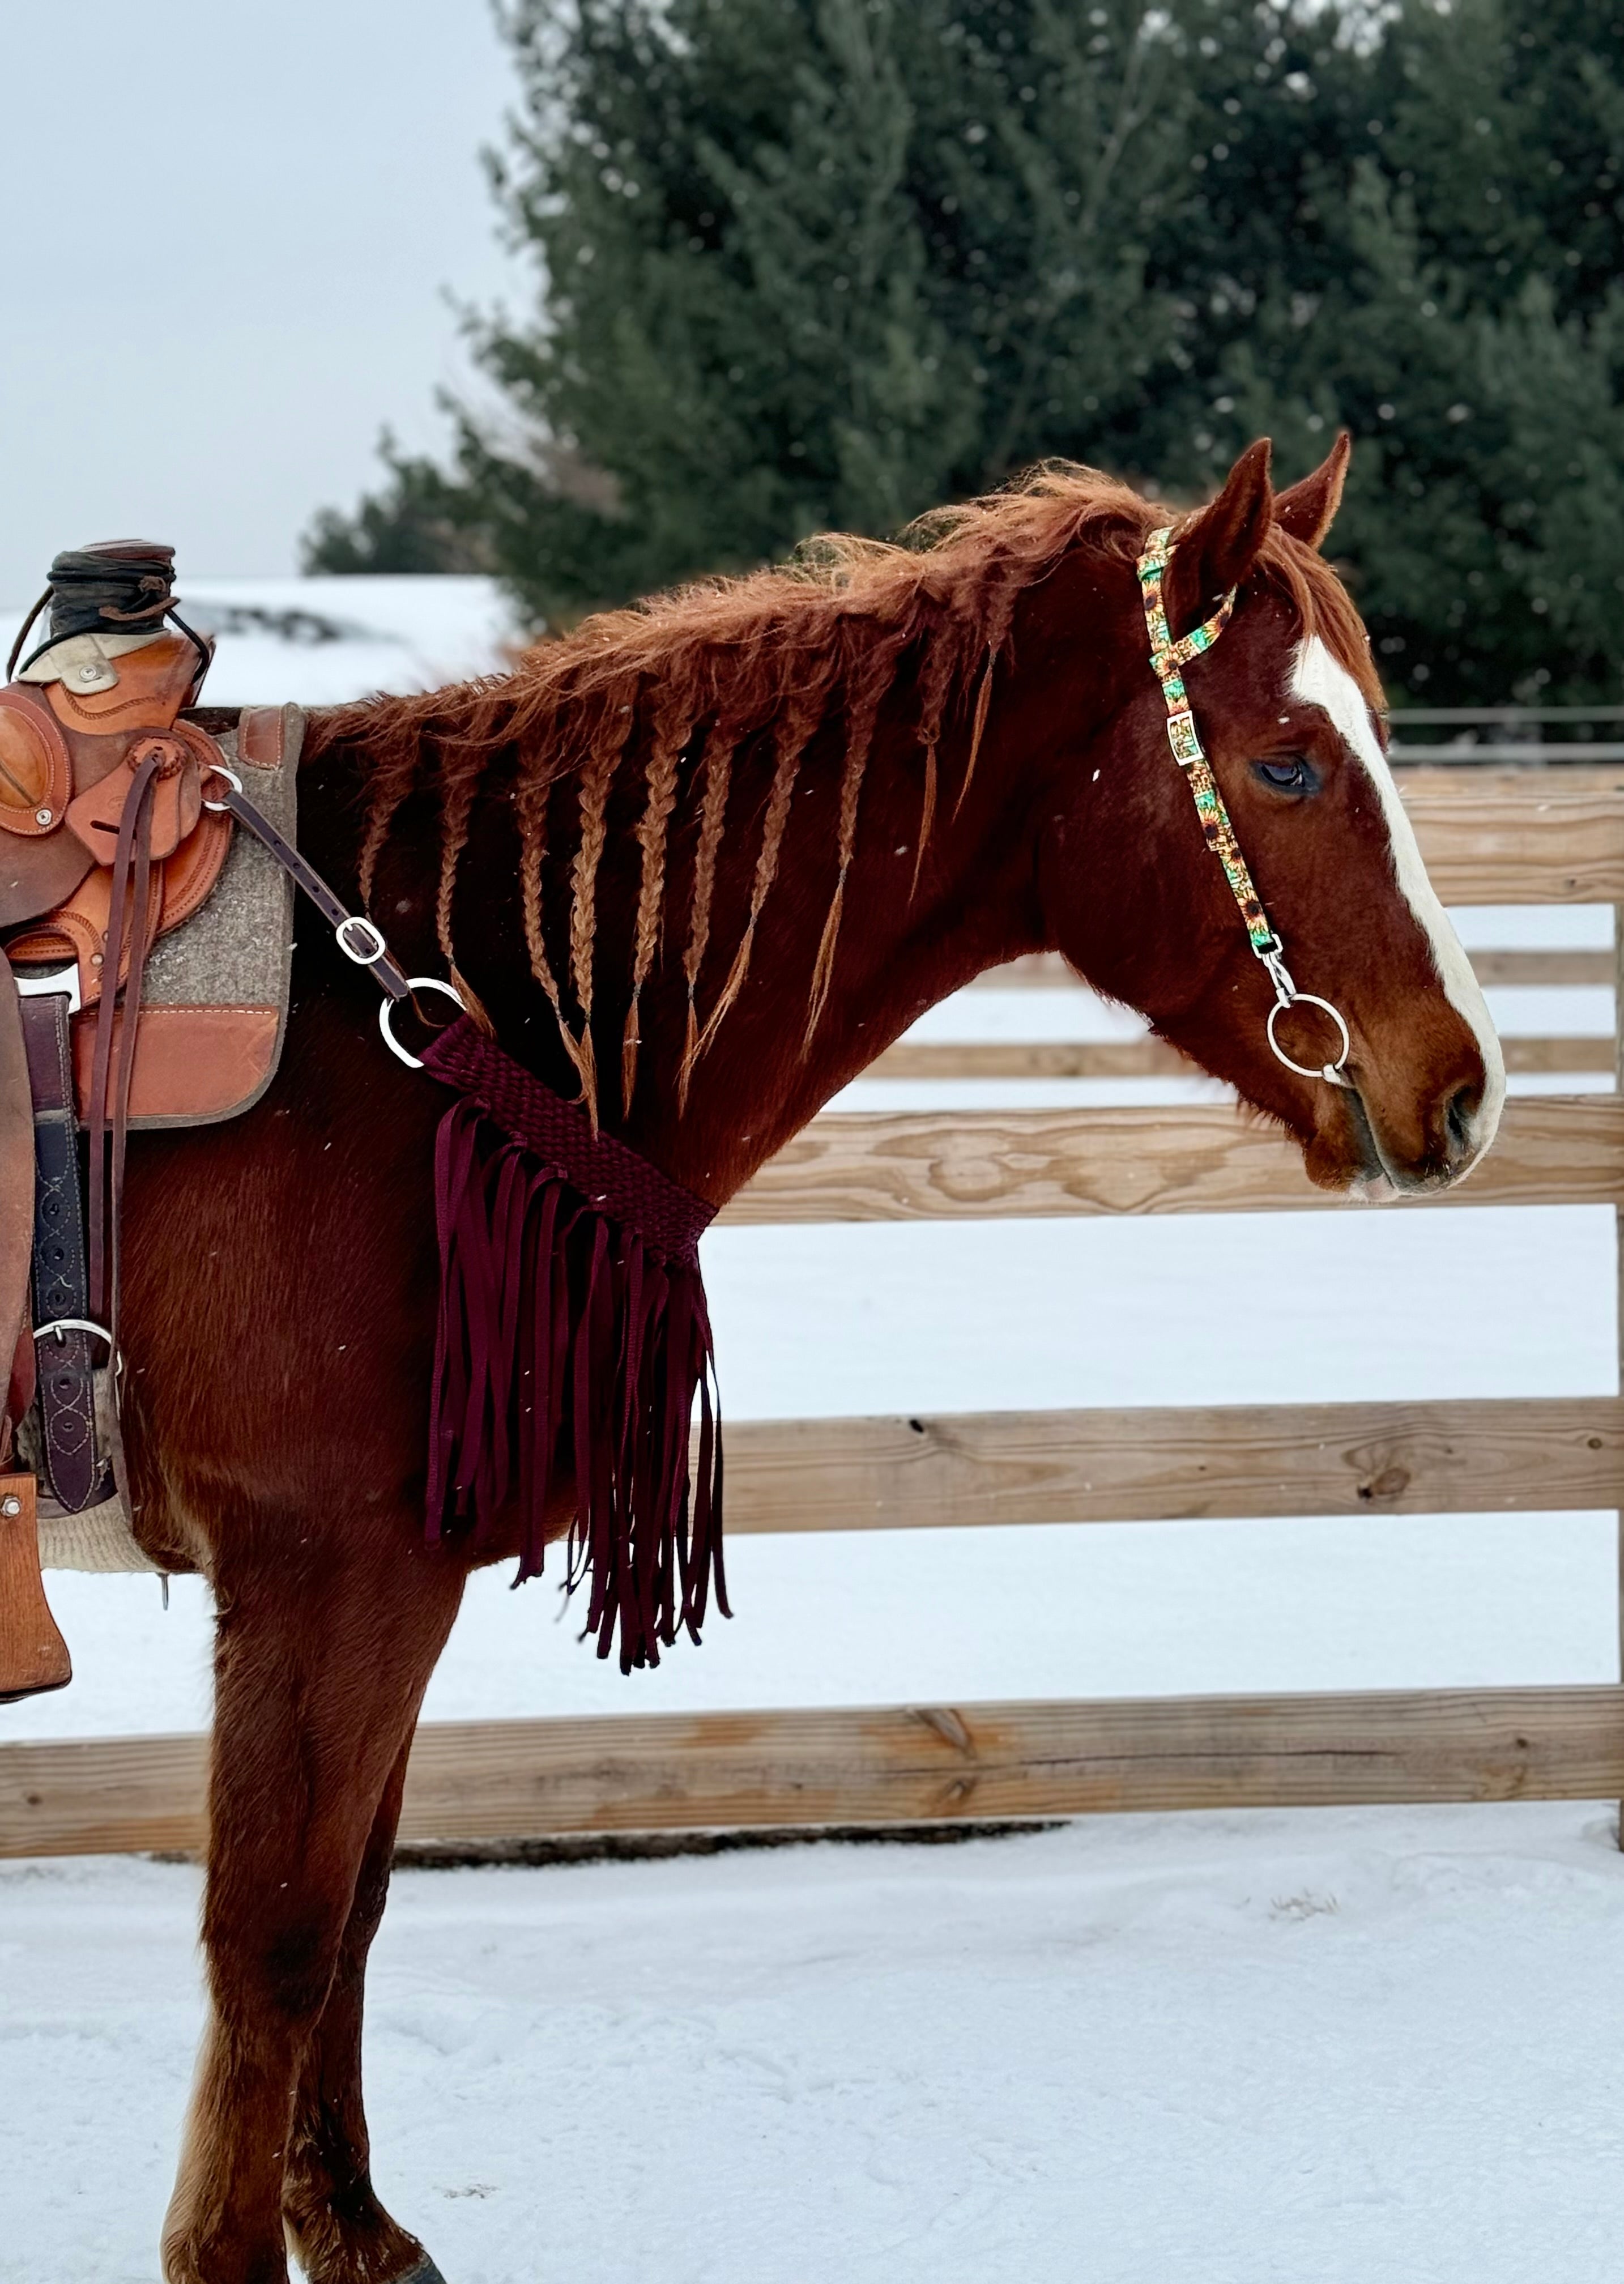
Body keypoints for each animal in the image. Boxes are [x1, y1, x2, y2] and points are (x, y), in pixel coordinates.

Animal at [89, 432, 1507, 2284]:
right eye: (1281, 761)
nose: (1465, 1090)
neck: (428, 1017)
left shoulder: (388, 1578)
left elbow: (357, 1913)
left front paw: (364, 2235)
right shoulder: (319, 1574)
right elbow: (274, 1941)